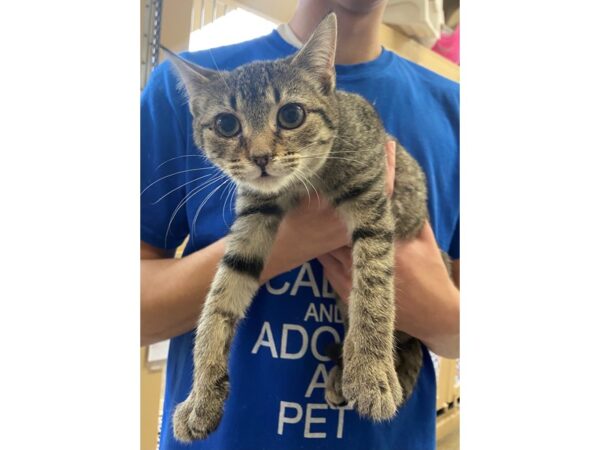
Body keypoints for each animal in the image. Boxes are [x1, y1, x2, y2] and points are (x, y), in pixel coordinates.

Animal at [161, 11, 440, 442]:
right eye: (226, 124)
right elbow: (218, 300)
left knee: (410, 346)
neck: (304, 182)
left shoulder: (373, 200)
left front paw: (371, 372)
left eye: (291, 115)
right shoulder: (253, 218)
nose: (260, 157)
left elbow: (374, 289)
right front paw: (202, 394)